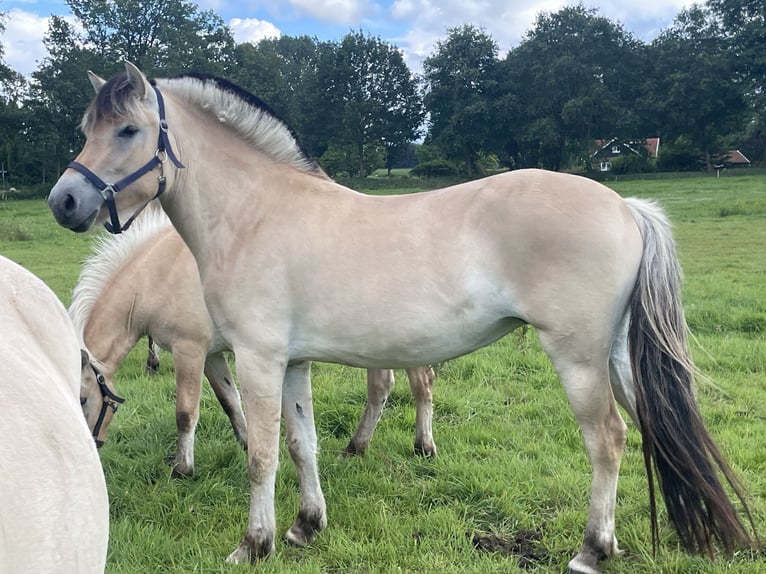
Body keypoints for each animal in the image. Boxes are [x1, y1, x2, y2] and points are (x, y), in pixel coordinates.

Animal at [72, 207, 438, 476]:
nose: (88, 456)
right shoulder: (212, 355)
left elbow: (186, 412)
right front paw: (248, 443)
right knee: (382, 388)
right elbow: (230, 401)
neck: (158, 273)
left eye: (82, 399)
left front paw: (182, 469)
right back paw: (356, 447)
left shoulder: (189, 350)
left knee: (420, 385)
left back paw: (423, 446)